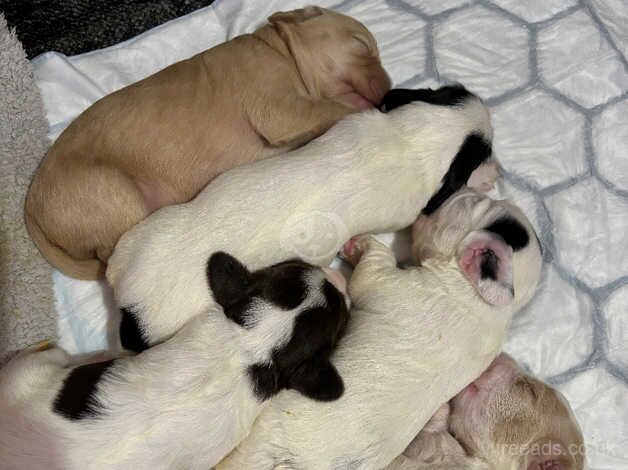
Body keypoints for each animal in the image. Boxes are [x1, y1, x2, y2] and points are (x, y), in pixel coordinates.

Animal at [25, 6, 392, 280]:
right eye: (361, 44)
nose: (389, 89)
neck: (279, 50)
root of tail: (32, 210)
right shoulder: (280, 109)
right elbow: (335, 107)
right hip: (115, 194)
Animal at [215, 188, 540, 470]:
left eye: (466, 204)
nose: (454, 189)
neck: (485, 302)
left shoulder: (390, 283)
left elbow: (373, 264)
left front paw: (356, 244)